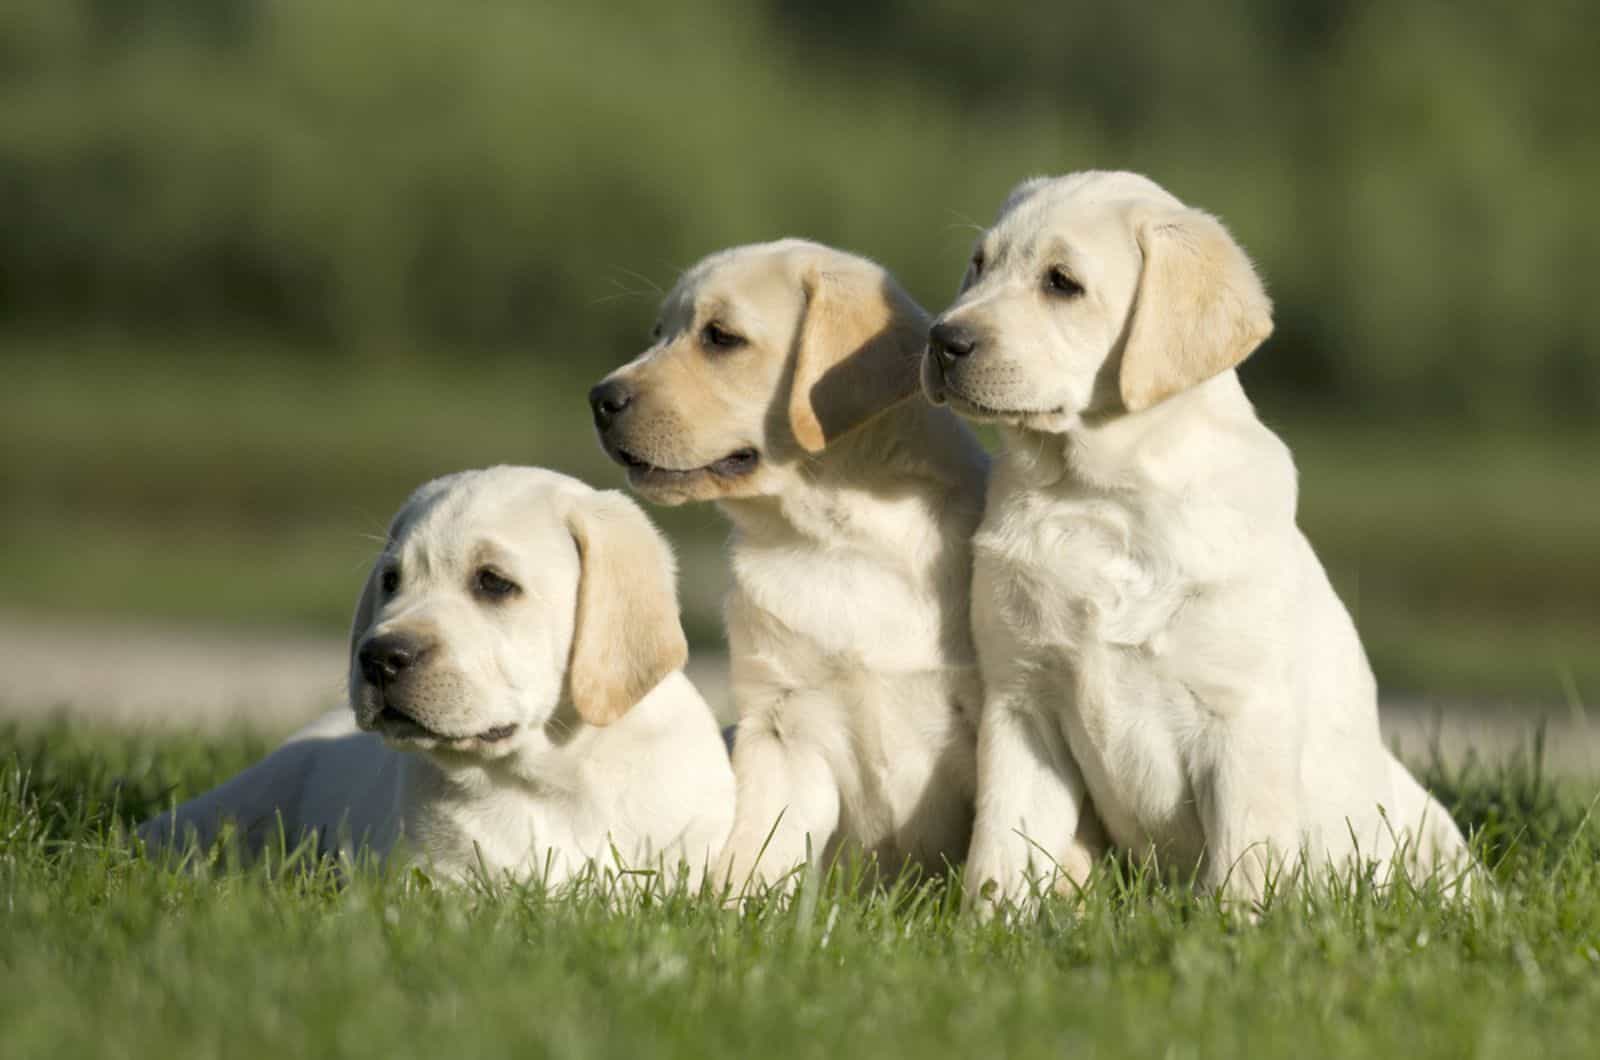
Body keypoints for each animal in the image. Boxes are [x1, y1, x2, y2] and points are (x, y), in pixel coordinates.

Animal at [928, 174, 1472, 915]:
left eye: (1062, 283)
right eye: (979, 266)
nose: (942, 340)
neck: (1099, 496)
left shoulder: (1240, 717)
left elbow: (1247, 853)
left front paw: (1239, 928)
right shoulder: (1022, 702)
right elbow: (1004, 845)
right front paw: (991, 925)